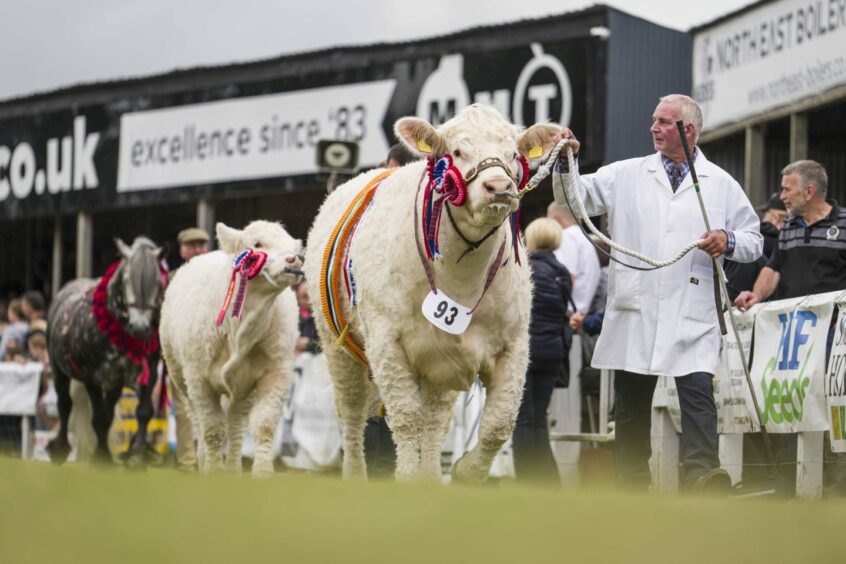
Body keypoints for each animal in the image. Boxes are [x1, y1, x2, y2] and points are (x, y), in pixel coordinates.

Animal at [47, 236, 168, 464]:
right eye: (127, 280)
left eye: (158, 282)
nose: (140, 327)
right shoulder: (92, 377)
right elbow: (99, 419)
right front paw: (102, 459)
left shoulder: (145, 374)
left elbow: (143, 411)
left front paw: (136, 455)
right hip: (59, 371)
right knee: (65, 405)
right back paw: (60, 448)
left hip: (113, 383)